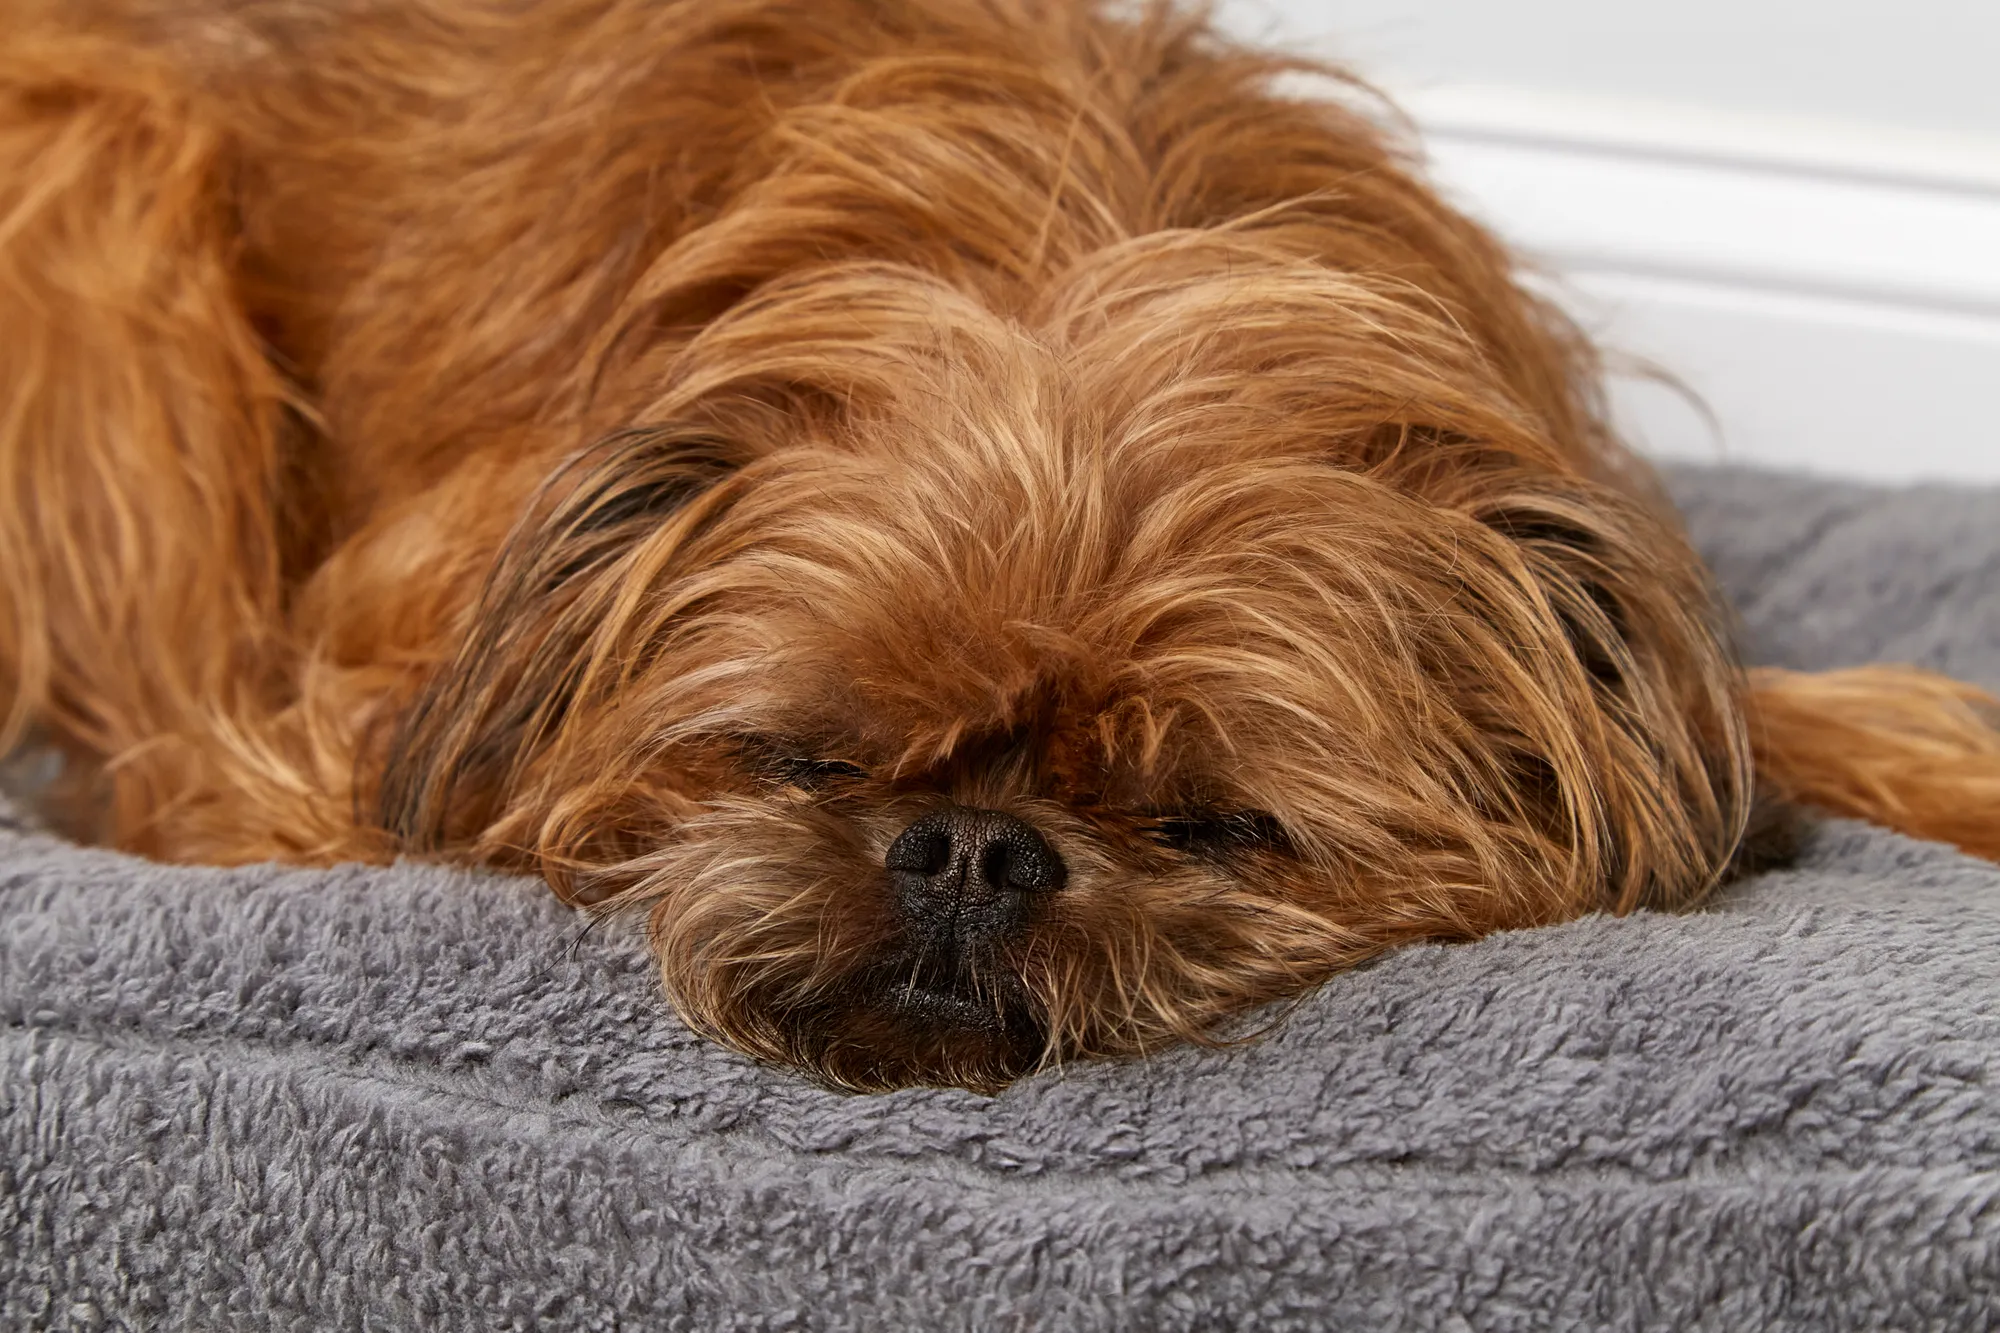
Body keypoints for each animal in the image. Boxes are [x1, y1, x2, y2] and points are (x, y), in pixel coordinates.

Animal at [11, 0, 2000, 1088]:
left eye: (1218, 826)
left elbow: (1814, 715)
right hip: (107, 220)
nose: (970, 846)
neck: (1076, 241)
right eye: (800, 757)